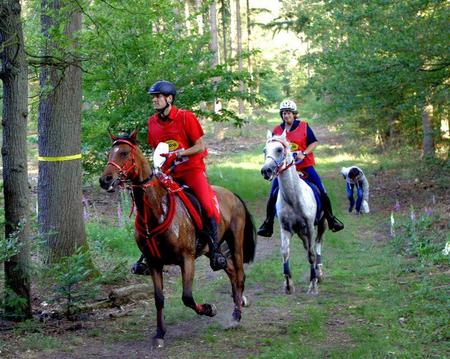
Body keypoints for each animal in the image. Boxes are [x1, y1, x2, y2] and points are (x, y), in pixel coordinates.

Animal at [99, 130, 256, 348]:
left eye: (124, 153)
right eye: (109, 154)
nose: (105, 180)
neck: (156, 211)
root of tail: (233, 195)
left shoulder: (186, 259)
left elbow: (187, 297)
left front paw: (209, 309)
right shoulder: (154, 262)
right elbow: (159, 299)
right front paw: (159, 334)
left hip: (235, 242)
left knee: (240, 275)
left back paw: (236, 316)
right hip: (211, 251)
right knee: (231, 271)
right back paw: (236, 305)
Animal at [260, 132, 326, 296]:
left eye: (279, 149)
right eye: (265, 150)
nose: (265, 171)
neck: (293, 198)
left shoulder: (310, 228)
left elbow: (311, 254)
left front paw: (313, 285)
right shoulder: (285, 229)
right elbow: (285, 253)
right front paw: (288, 284)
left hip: (322, 225)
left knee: (317, 244)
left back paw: (319, 273)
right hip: (301, 233)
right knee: (307, 246)